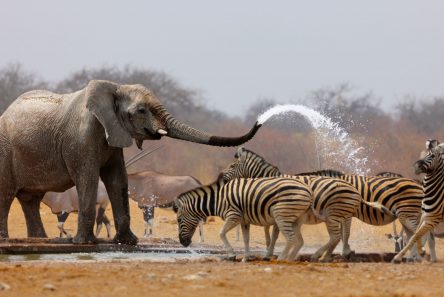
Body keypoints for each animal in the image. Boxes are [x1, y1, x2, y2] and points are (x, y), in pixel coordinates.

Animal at [0, 78, 260, 243]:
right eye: (142, 110)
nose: (258, 122)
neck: (114, 87)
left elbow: (117, 179)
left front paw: (127, 242)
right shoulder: (81, 138)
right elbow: (88, 178)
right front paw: (84, 243)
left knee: (30, 200)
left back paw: (39, 239)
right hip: (5, 150)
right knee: (7, 193)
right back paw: (8, 240)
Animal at [173, 177, 312, 260]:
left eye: (179, 220)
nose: (182, 243)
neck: (218, 200)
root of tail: (308, 190)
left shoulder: (233, 215)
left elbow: (221, 233)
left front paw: (232, 254)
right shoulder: (244, 220)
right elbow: (246, 239)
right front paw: (246, 257)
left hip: (281, 216)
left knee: (291, 239)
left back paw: (282, 259)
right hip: (294, 219)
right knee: (298, 241)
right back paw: (289, 258)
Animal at [221, 146, 434, 260]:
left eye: (232, 166)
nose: (221, 178)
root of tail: (416, 183)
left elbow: (274, 234)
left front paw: (269, 254)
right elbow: (344, 233)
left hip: (406, 213)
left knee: (418, 233)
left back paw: (416, 255)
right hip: (408, 214)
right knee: (417, 233)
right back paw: (413, 256)